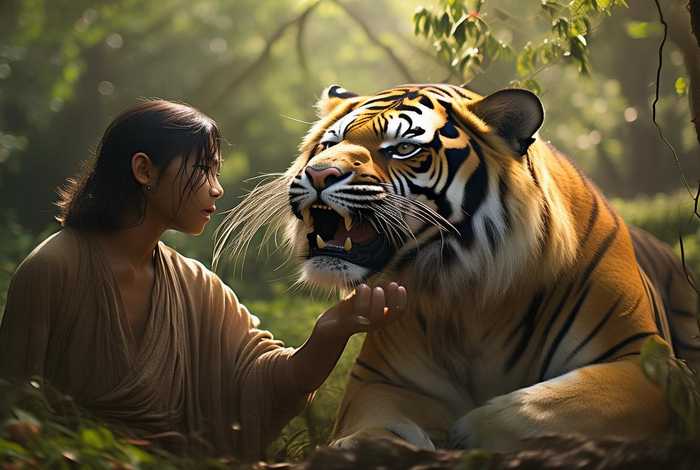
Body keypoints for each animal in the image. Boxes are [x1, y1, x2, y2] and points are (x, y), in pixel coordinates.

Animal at [218, 83, 700, 451]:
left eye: (403, 148)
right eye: (330, 143)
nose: (319, 174)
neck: (471, 299)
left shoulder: (643, 363)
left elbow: (544, 406)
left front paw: (469, 432)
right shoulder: (381, 382)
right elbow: (374, 425)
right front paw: (369, 445)